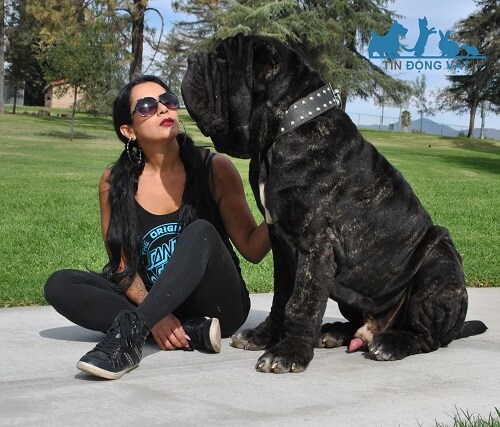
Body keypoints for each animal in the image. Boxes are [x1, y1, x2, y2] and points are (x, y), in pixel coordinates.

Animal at [181, 35, 488, 372]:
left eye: (222, 59)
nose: (191, 60)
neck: (287, 127)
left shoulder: (315, 241)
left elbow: (302, 302)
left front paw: (289, 352)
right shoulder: (282, 243)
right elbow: (281, 297)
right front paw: (263, 336)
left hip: (438, 259)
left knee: (428, 337)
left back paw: (392, 343)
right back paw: (335, 332)